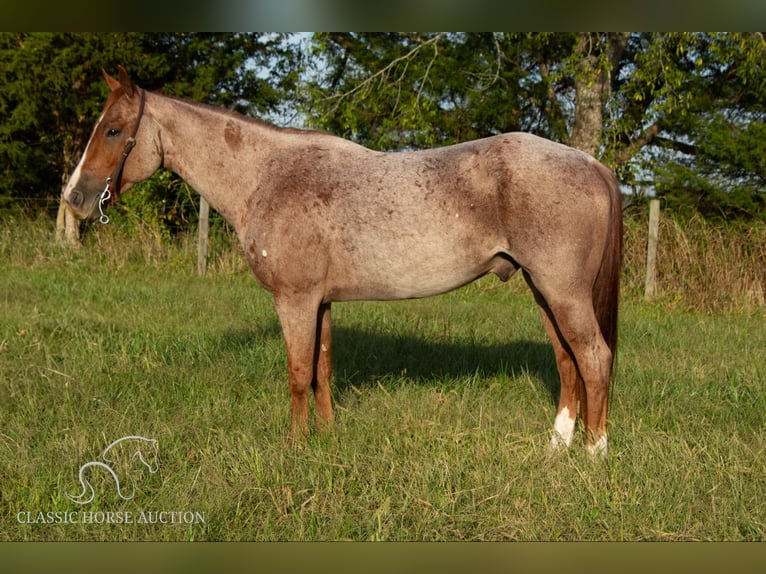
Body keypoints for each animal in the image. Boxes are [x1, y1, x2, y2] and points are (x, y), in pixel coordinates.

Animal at [61, 66, 624, 454]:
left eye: (113, 130)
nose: (75, 199)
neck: (267, 176)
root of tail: (591, 163)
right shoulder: (322, 302)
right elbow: (322, 369)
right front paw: (327, 438)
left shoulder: (294, 301)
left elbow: (296, 372)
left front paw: (293, 447)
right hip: (543, 290)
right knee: (568, 362)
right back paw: (557, 447)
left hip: (561, 292)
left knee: (594, 358)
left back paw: (594, 453)